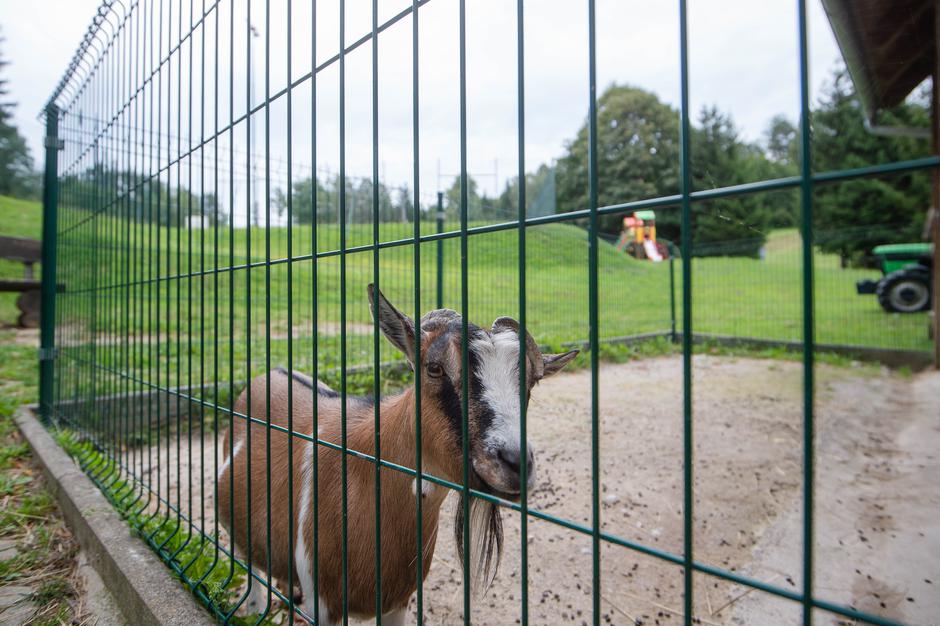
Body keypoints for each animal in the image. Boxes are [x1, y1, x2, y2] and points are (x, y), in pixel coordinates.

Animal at [217, 286, 576, 620]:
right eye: (434, 368)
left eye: (532, 381)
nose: (515, 462)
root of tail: (269, 373)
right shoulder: (322, 602)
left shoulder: (398, 602)